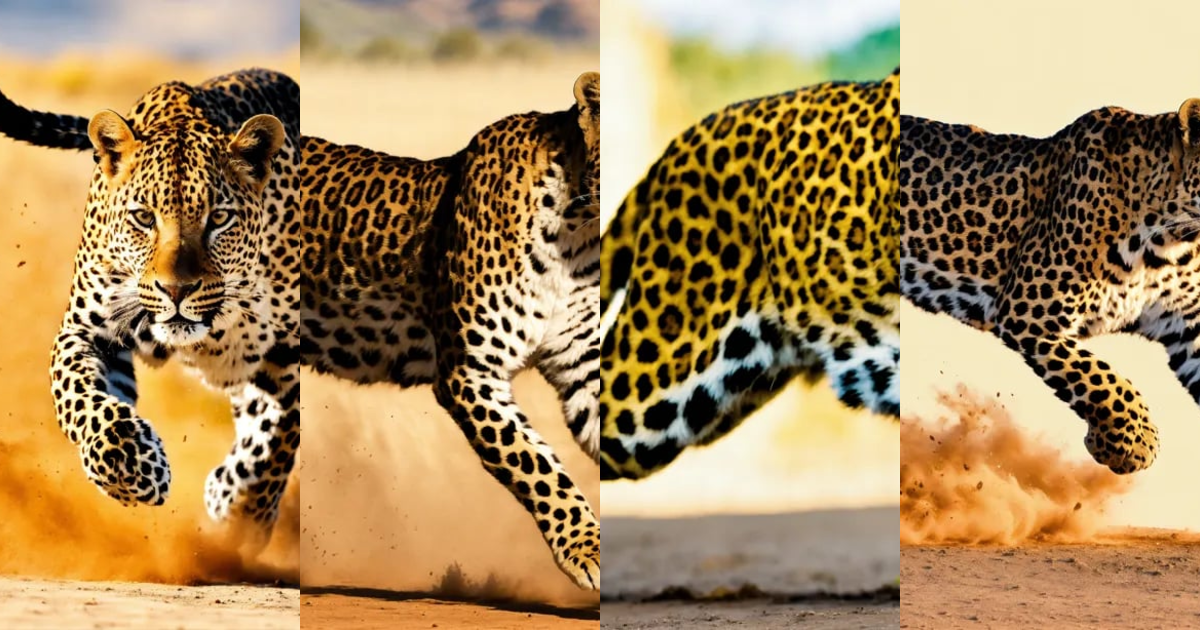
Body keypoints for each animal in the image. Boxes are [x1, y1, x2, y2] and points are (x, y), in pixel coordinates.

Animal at [0, 68, 302, 538]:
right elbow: (80, 396)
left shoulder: (289, 353)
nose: (176, 290)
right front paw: (128, 464)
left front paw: (240, 513)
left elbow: (274, 440)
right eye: (144, 217)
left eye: (219, 218)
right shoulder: (86, 330)